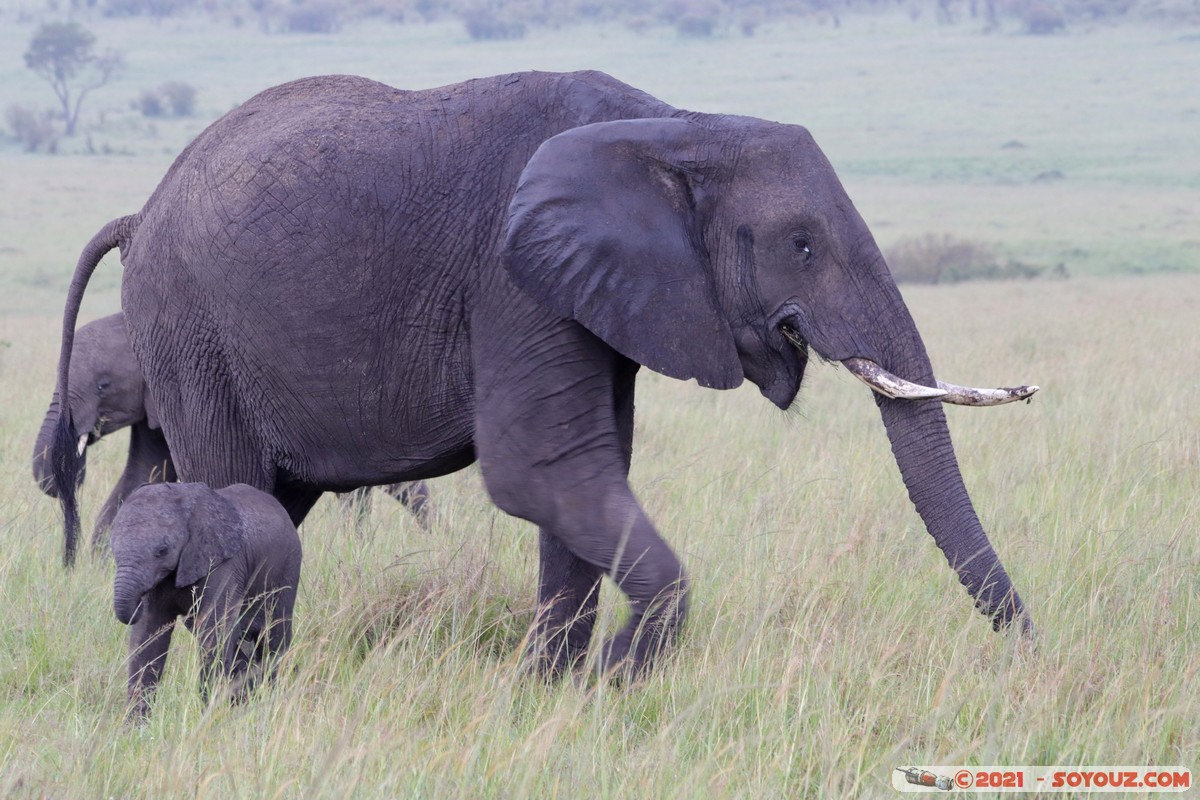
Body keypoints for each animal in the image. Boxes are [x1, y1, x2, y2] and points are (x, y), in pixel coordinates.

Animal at [111, 482, 302, 719]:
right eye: (112, 548)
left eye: (162, 551)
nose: (136, 603)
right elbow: (147, 636)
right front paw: (135, 725)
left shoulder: (224, 565)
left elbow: (213, 635)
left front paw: (207, 717)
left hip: (287, 570)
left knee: (273, 637)